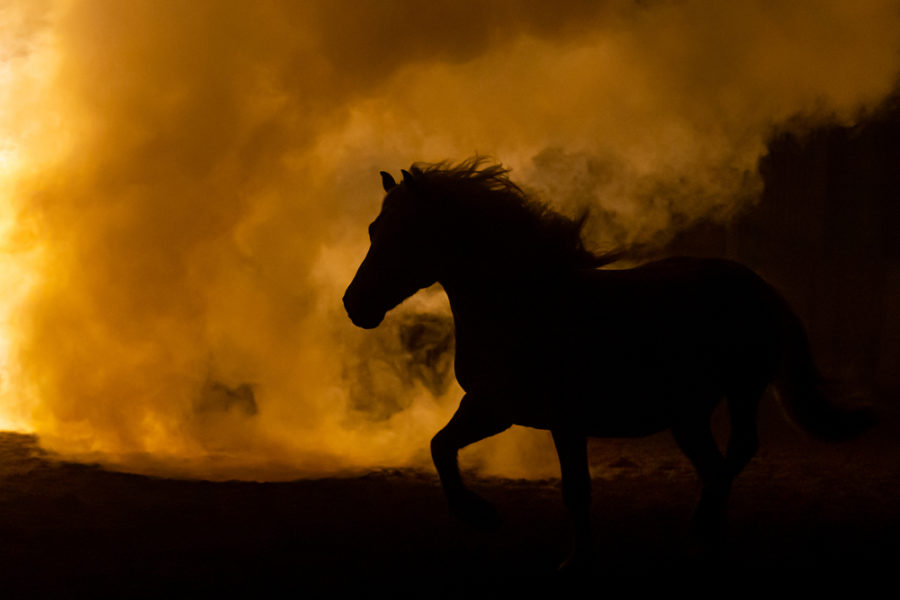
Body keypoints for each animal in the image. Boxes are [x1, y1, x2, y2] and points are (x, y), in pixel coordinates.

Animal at [342, 157, 868, 568]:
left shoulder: (561, 420)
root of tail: (760, 287)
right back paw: (702, 533)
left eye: (405, 234)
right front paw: (483, 517)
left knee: (735, 454)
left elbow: (577, 491)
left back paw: (703, 531)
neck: (523, 304)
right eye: (372, 229)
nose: (354, 305)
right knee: (720, 465)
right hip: (690, 414)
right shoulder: (493, 408)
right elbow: (440, 446)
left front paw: (571, 560)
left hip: (737, 392)